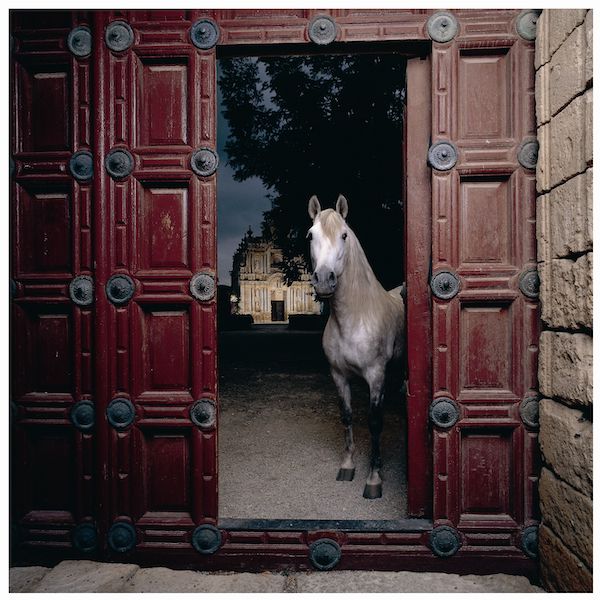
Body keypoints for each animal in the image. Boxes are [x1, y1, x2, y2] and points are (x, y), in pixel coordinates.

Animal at [308, 195, 406, 500]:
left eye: (344, 235)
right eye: (311, 235)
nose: (324, 279)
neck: (354, 317)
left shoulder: (376, 376)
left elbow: (374, 422)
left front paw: (374, 478)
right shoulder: (338, 375)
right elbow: (347, 416)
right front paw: (348, 465)